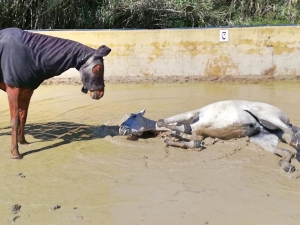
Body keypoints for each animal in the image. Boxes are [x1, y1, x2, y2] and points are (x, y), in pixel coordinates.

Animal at [0, 27, 111, 158]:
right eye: (99, 69)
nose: (101, 93)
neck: (31, 54)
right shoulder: (13, 91)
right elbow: (15, 121)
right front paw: (15, 153)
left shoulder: (26, 91)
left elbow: (23, 117)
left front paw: (23, 141)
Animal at [119, 100, 300, 172]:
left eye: (133, 115)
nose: (121, 129)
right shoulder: (199, 135)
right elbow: (180, 140)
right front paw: (185, 141)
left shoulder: (191, 115)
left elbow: (165, 122)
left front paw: (181, 129)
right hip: (263, 139)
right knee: (286, 151)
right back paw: (287, 165)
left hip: (269, 117)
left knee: (291, 135)